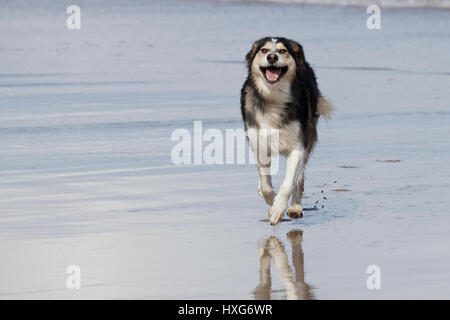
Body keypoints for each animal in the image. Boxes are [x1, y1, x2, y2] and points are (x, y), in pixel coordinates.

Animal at [239, 37, 334, 225]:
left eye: (283, 51)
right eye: (264, 50)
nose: (272, 57)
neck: (274, 96)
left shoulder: (298, 145)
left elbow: (290, 182)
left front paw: (277, 209)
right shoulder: (259, 142)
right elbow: (265, 181)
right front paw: (271, 199)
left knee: (299, 179)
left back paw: (295, 207)